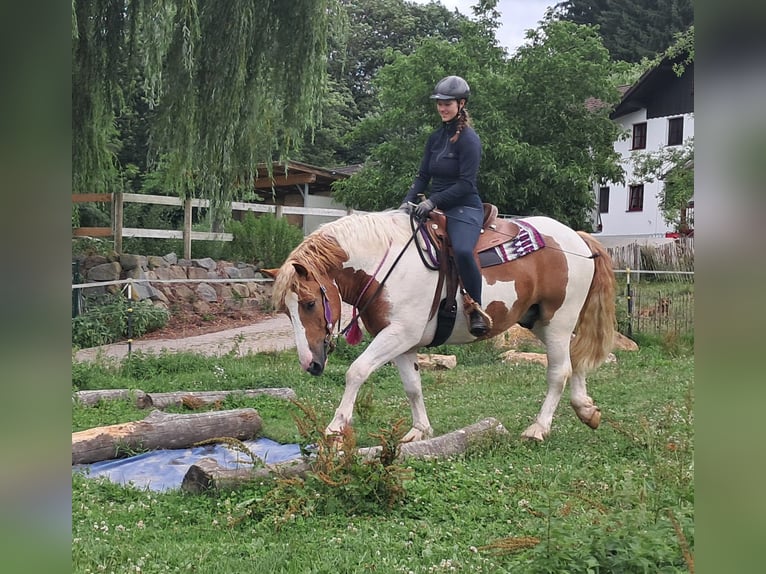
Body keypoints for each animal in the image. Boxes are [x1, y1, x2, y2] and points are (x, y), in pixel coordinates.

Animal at [264, 209, 616, 442]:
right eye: (285, 311)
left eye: (309, 303)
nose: (310, 364)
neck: (386, 265)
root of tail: (579, 239)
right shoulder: (401, 342)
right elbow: (412, 386)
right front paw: (419, 431)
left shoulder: (398, 334)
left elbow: (357, 371)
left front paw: (336, 427)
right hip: (540, 321)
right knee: (576, 360)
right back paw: (586, 410)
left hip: (558, 320)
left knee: (559, 372)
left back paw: (539, 428)